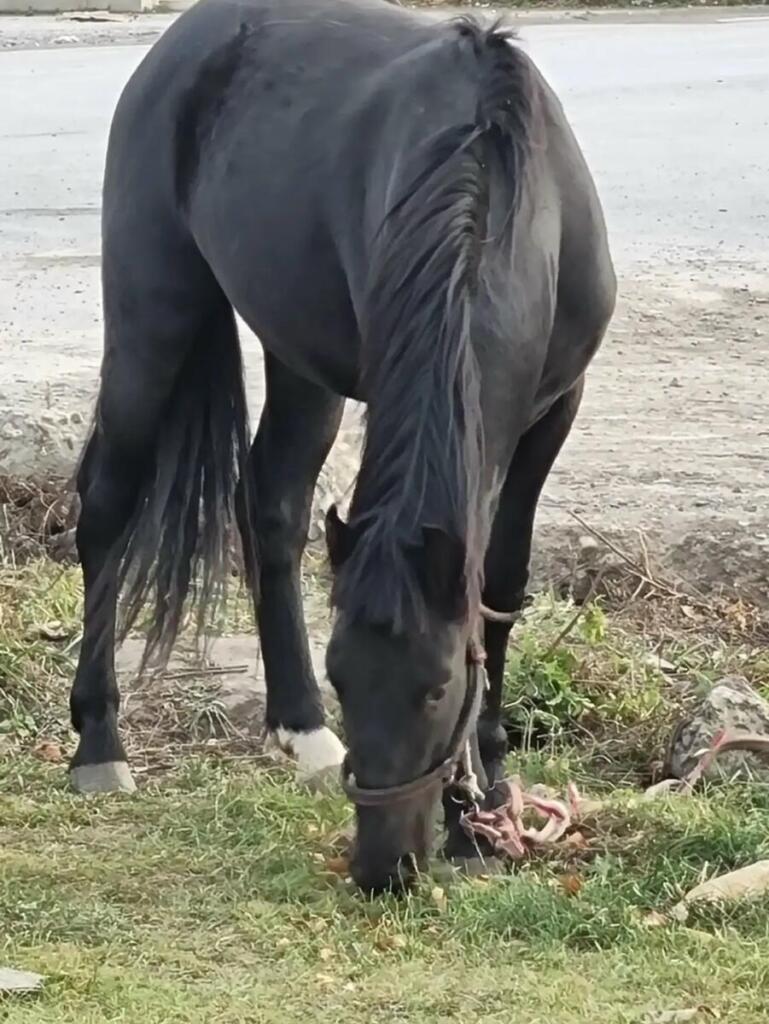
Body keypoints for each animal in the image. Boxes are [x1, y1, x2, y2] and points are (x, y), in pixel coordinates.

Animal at [68, 0, 615, 893]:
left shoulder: (554, 411)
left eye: (435, 689)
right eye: (345, 675)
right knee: (107, 511)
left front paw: (489, 792)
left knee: (272, 508)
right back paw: (99, 746)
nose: (382, 867)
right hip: (154, 321)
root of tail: (180, 45)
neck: (503, 184)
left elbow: (498, 586)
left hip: (298, 362)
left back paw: (299, 732)